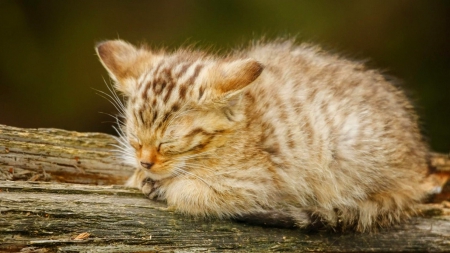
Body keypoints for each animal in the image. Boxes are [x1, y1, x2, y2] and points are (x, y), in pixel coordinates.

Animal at [96, 39, 428, 231]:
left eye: (168, 144)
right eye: (135, 140)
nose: (145, 163)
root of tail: (416, 163)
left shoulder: (260, 183)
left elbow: (193, 191)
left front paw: (165, 186)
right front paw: (139, 177)